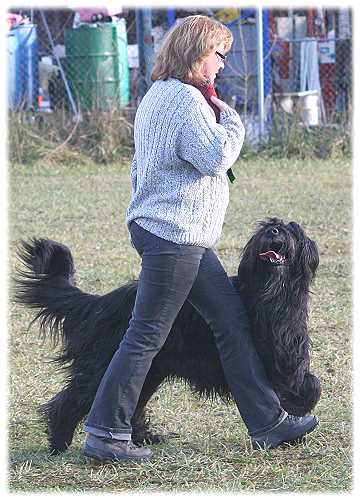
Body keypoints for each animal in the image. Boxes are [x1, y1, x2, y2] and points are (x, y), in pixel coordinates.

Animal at [15, 217, 322, 456]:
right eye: (267, 226)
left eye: (292, 229)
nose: (274, 232)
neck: (269, 294)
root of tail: (100, 302)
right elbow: (307, 385)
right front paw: (292, 424)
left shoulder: (287, 355)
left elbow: (307, 383)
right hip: (105, 364)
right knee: (73, 399)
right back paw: (59, 441)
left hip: (151, 369)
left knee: (131, 403)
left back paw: (142, 437)